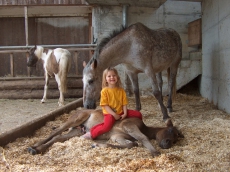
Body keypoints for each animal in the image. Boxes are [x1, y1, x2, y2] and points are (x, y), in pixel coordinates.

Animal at [28, 109, 183, 157]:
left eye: (176, 139)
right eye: (170, 130)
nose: (167, 144)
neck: (144, 126)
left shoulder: (117, 136)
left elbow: (131, 144)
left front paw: (96, 145)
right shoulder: (128, 125)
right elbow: (142, 138)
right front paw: (155, 152)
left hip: (76, 132)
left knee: (59, 137)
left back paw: (37, 149)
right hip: (75, 119)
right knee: (56, 131)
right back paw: (33, 146)